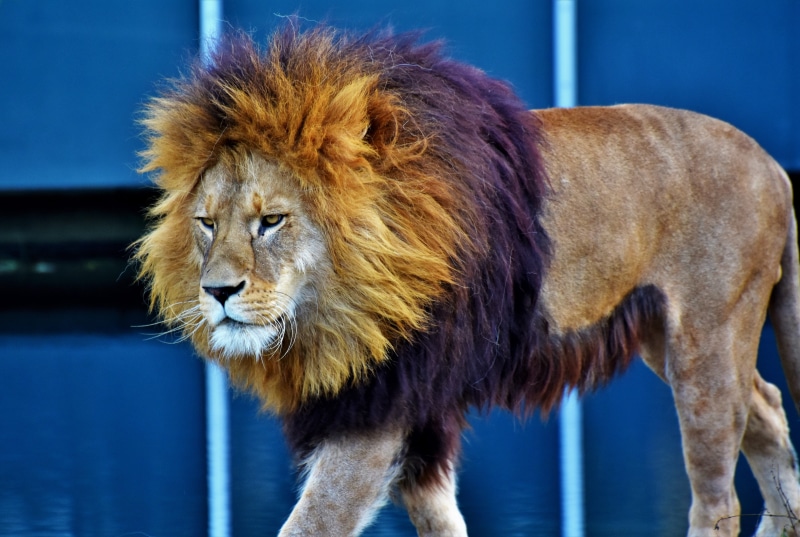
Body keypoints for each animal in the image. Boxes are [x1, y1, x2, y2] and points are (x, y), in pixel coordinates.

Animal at [135, 25, 800, 536]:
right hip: (670, 339)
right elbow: (440, 520)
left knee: (718, 496)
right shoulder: (414, 404)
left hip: (705, 343)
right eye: (206, 224)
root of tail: (774, 165)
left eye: (271, 221)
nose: (217, 292)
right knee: (767, 407)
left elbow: (314, 520)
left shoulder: (377, 405)